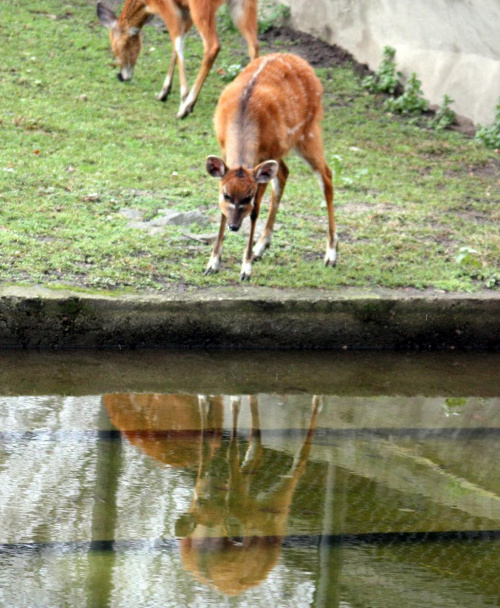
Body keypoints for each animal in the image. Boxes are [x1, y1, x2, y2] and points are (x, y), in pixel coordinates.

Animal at [98, 0, 262, 117]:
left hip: (202, 9)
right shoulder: (185, 12)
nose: (122, 76)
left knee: (213, 46)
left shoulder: (170, 10)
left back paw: (186, 106)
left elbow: (177, 43)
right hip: (242, 7)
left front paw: (182, 98)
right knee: (254, 45)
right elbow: (176, 47)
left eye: (115, 48)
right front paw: (163, 93)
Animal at [205, 52, 338, 280]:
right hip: (285, 149)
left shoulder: (265, 156)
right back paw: (261, 247)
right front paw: (213, 263)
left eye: (247, 197)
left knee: (326, 175)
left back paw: (331, 254)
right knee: (284, 173)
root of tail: (299, 59)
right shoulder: (226, 152)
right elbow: (222, 209)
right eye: (227, 195)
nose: (234, 226)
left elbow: (255, 211)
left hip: (309, 131)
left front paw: (246, 269)